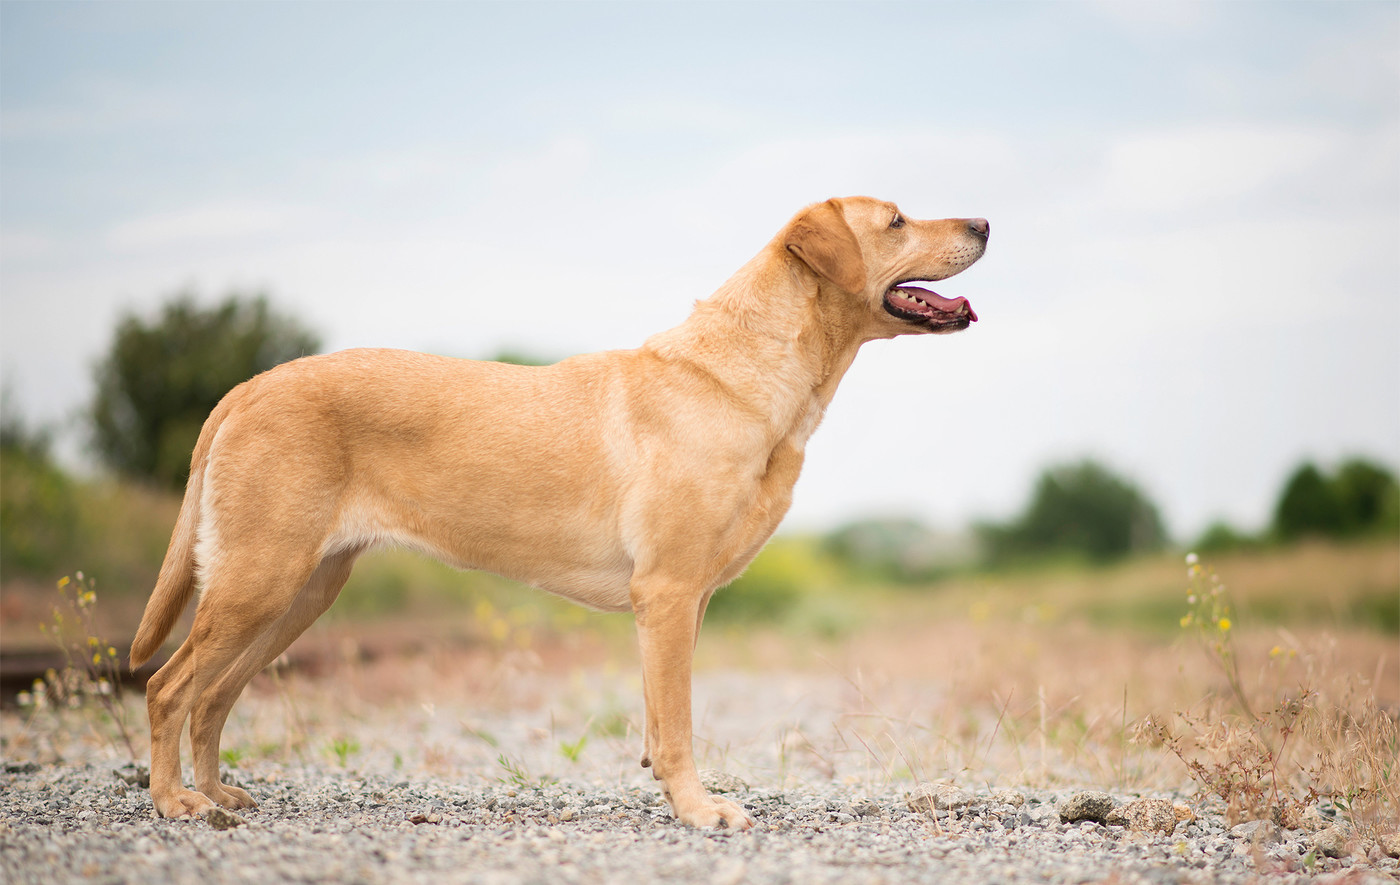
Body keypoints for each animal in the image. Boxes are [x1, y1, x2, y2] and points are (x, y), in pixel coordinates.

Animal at [128, 194, 985, 828]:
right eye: (897, 220)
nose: (984, 223)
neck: (758, 369)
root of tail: (248, 386)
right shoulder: (668, 591)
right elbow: (678, 723)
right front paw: (700, 810)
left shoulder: (684, 601)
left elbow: (658, 718)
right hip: (260, 579)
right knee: (170, 687)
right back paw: (176, 800)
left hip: (298, 591)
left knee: (213, 695)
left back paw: (218, 790)